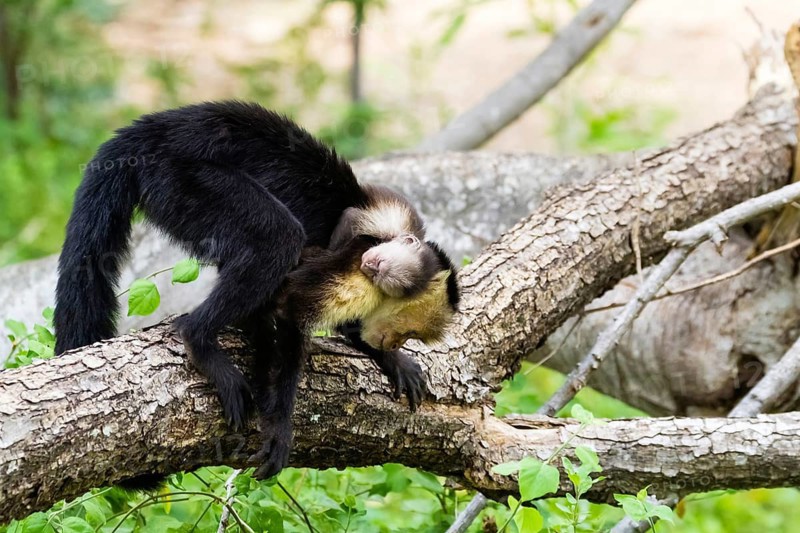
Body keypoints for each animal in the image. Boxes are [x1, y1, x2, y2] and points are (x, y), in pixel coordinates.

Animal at [53, 101, 460, 480]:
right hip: (180, 176)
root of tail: (153, 129)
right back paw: (200, 336)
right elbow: (296, 304)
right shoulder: (377, 233)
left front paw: (391, 360)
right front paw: (279, 426)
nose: (392, 341)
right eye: (406, 326)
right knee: (278, 238)